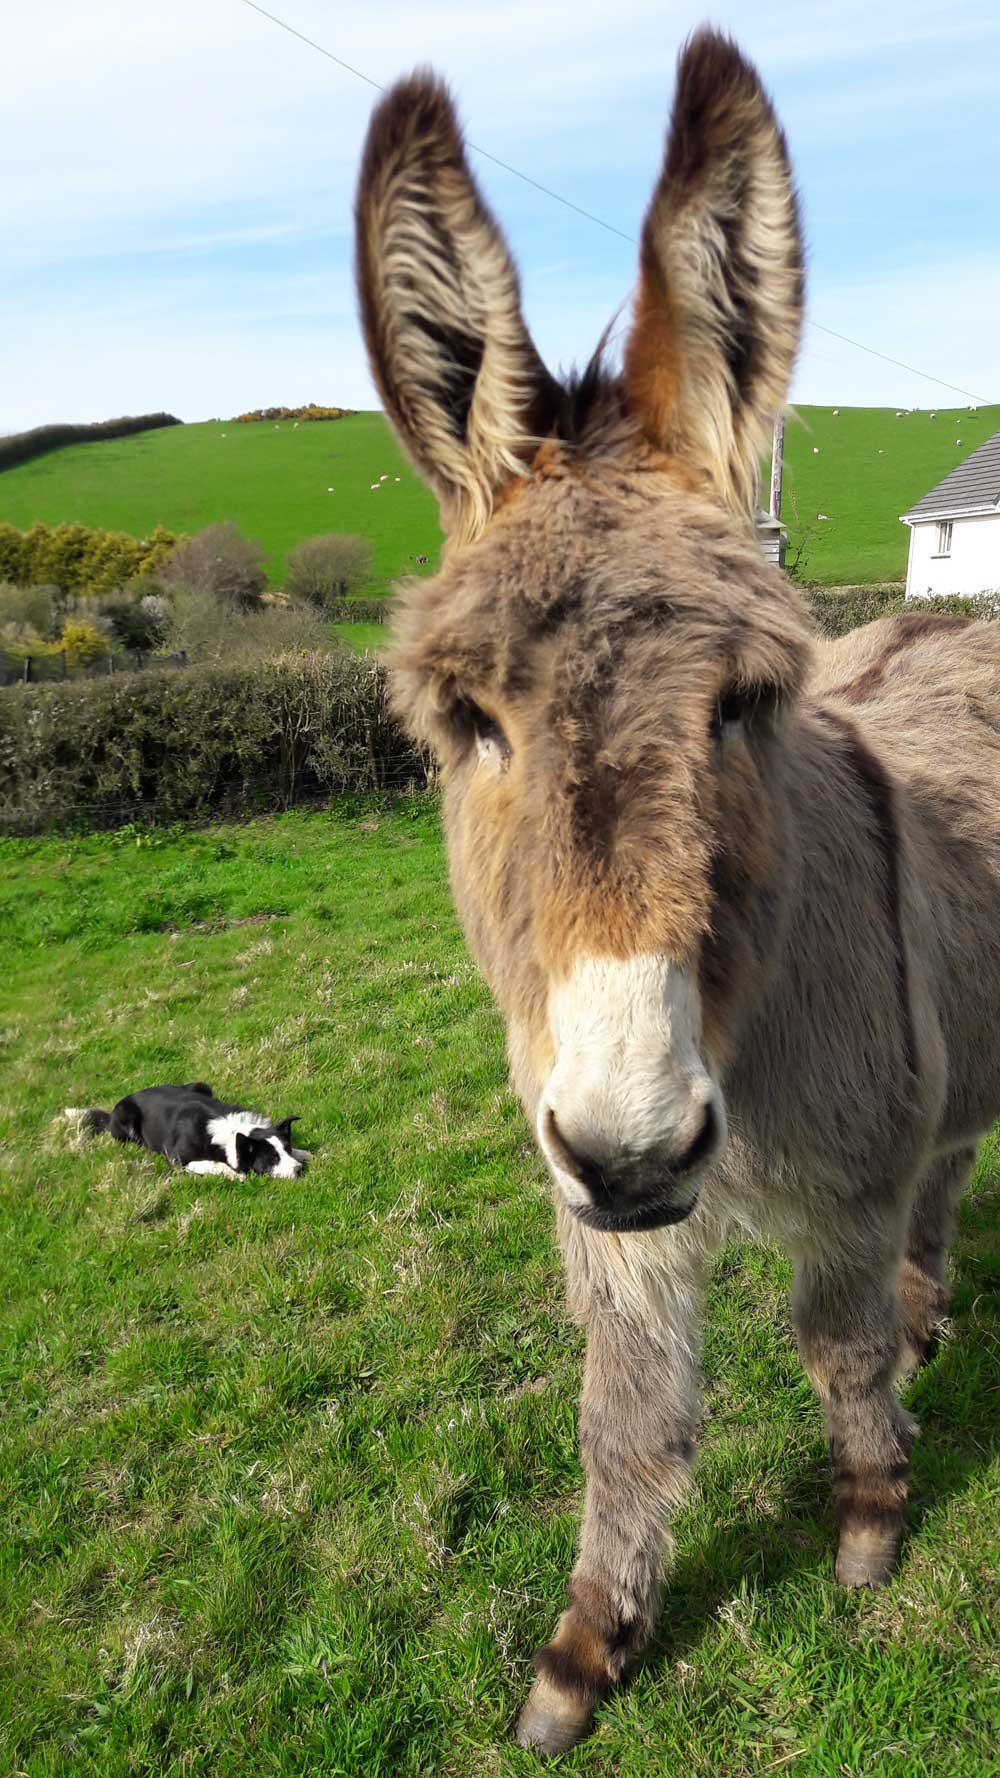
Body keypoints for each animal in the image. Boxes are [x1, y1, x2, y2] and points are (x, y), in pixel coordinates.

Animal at [68, 1081, 309, 1180]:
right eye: (272, 1158)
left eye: (286, 1149)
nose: (299, 1170)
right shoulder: (178, 1160)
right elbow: (211, 1164)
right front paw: (233, 1174)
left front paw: (304, 1153)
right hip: (125, 1118)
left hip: (200, 1085)